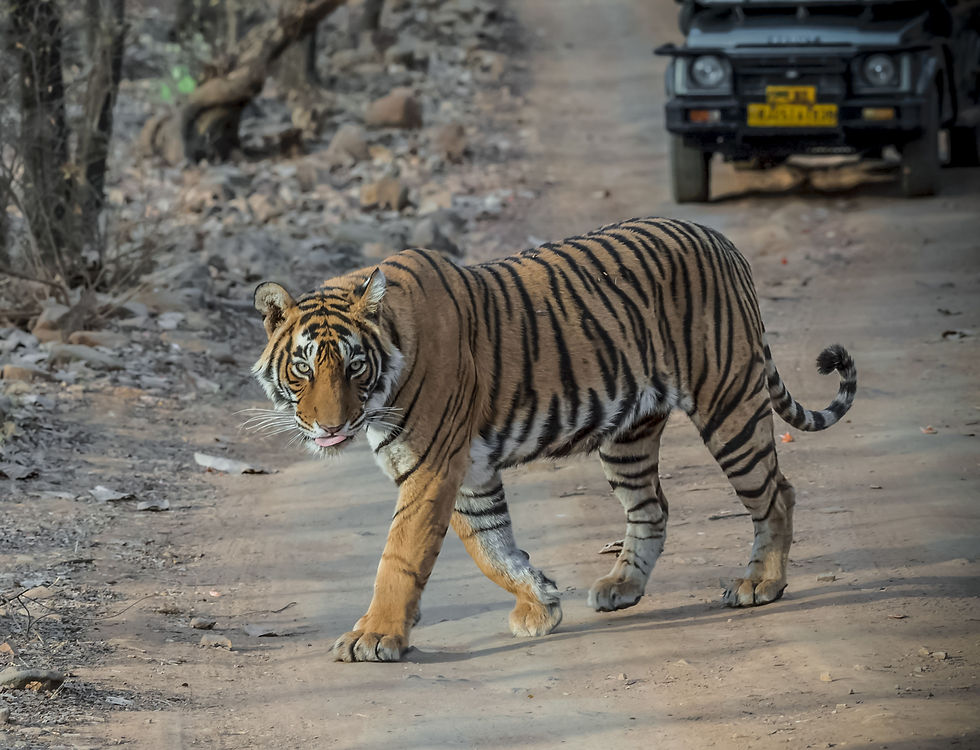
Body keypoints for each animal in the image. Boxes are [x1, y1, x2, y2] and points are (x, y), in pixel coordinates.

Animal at [251, 216, 857, 663]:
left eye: (354, 366)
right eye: (304, 367)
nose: (330, 427)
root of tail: (722, 240)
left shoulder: (432, 467)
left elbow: (401, 554)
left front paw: (375, 636)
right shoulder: (466, 472)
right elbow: (490, 547)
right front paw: (540, 603)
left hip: (729, 404)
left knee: (777, 493)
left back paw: (761, 585)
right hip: (628, 436)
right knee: (652, 507)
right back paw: (622, 587)